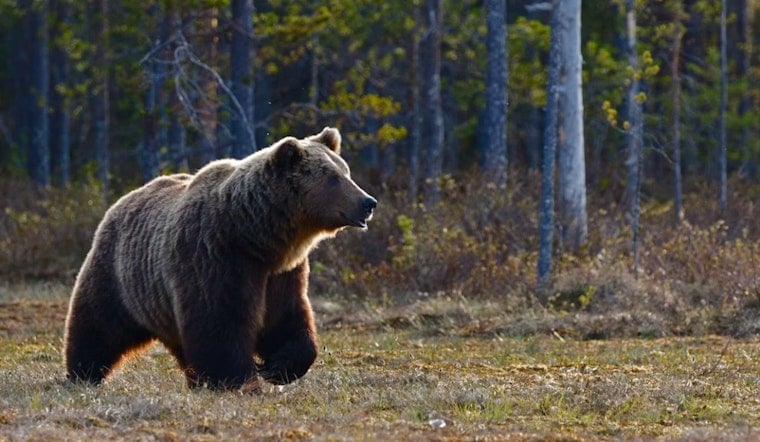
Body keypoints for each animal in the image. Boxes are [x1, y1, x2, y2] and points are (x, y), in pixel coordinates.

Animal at [63, 127, 376, 391]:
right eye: (333, 177)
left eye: (346, 171)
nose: (368, 202)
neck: (256, 236)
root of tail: (122, 200)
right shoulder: (216, 256)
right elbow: (220, 321)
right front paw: (238, 379)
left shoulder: (281, 273)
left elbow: (286, 318)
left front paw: (277, 367)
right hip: (119, 275)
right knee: (98, 324)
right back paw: (83, 373)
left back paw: (194, 380)